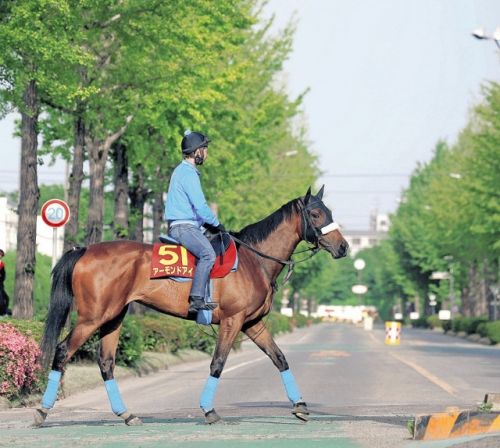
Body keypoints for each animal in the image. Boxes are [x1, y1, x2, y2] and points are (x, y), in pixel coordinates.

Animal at [35, 186, 348, 428]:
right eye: (316, 214)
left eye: (330, 212)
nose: (343, 247)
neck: (253, 259)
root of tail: (83, 250)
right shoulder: (233, 321)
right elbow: (218, 363)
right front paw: (209, 411)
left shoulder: (252, 324)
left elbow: (280, 358)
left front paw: (300, 406)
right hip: (93, 317)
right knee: (63, 351)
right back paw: (42, 411)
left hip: (113, 317)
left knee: (106, 362)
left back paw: (126, 414)